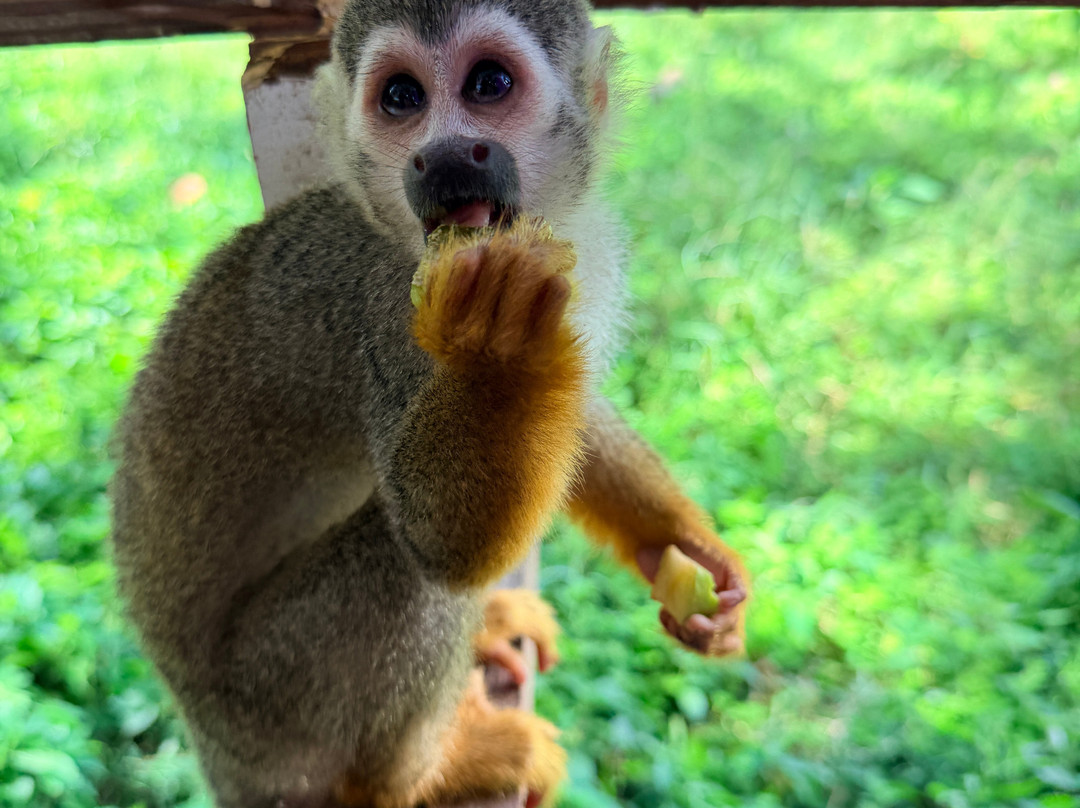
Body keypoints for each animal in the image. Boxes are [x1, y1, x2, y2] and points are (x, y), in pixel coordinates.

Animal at [109, 0, 749, 806]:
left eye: (489, 83)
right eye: (402, 98)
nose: (443, 157)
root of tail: (218, 747)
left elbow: (581, 422)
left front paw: (685, 549)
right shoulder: (387, 315)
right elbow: (443, 541)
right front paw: (495, 348)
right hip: (274, 692)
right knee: (401, 562)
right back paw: (424, 773)